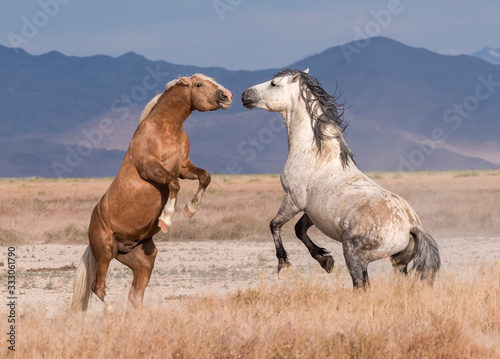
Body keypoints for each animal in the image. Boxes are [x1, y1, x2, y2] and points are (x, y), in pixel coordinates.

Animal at [71, 74, 233, 310]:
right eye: (199, 84)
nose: (227, 96)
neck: (165, 130)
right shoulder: (150, 169)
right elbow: (174, 184)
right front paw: (165, 220)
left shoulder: (183, 167)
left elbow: (204, 177)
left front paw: (190, 210)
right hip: (105, 252)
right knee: (98, 287)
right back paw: (112, 310)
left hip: (143, 260)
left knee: (135, 295)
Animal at [240, 69, 440, 290]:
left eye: (274, 84)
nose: (244, 95)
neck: (316, 154)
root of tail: (411, 226)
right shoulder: (312, 211)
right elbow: (299, 229)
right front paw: (325, 260)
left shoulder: (294, 199)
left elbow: (274, 225)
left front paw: (284, 266)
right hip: (399, 262)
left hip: (354, 256)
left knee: (361, 285)